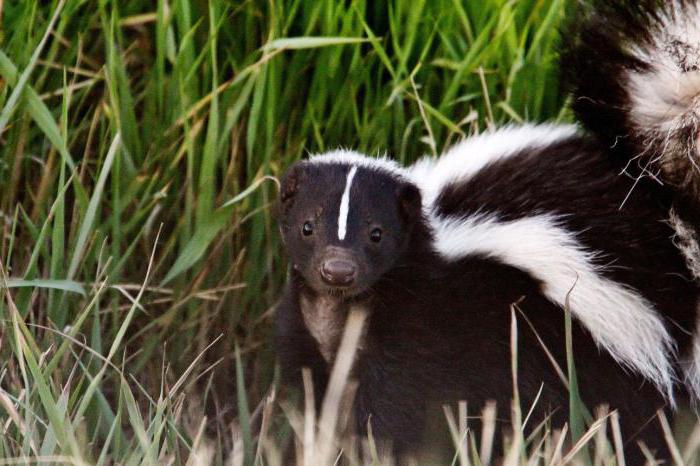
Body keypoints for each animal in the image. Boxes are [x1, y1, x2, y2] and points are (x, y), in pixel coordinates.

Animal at [274, 0, 700, 460]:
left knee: (623, 421)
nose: (337, 271)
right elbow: (311, 402)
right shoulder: (308, 335)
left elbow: (396, 411)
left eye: (377, 234)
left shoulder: (420, 329)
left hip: (602, 350)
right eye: (307, 227)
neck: (341, 312)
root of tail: (664, 209)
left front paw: (374, 451)